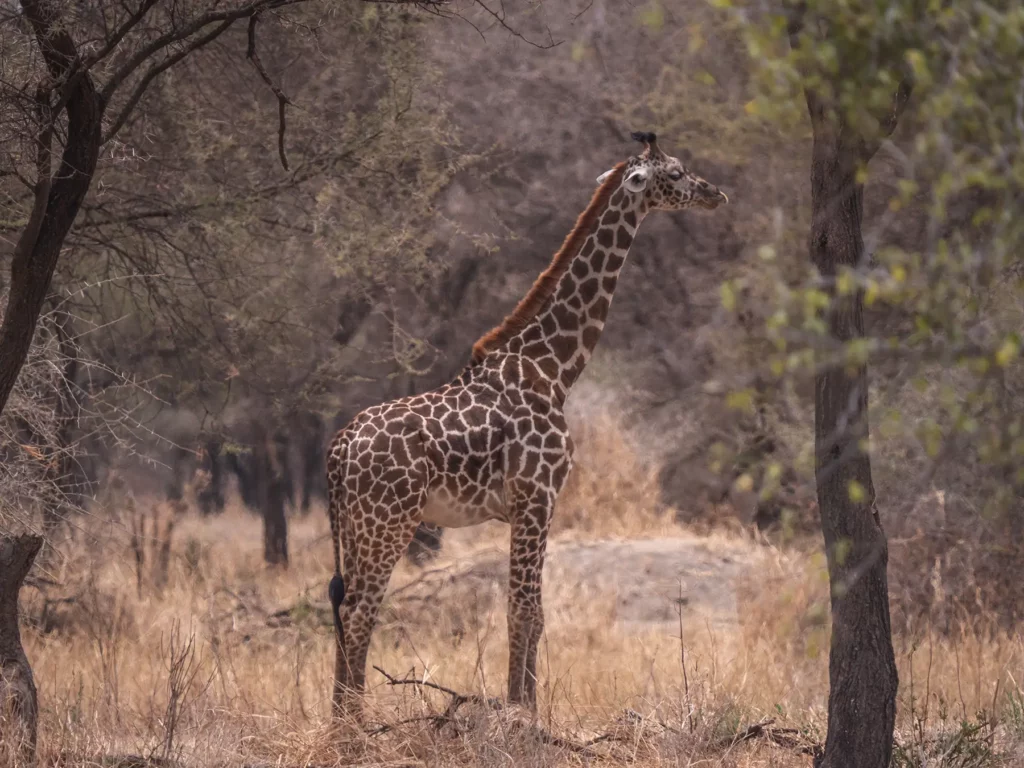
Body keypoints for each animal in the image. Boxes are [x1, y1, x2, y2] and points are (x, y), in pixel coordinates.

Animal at [326, 131, 728, 718]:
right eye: (675, 173)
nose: (715, 193)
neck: (553, 368)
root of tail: (338, 450)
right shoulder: (538, 495)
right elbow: (526, 611)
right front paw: (524, 714)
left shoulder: (525, 504)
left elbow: (529, 611)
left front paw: (524, 707)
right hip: (389, 522)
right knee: (361, 611)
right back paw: (354, 724)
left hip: (355, 525)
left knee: (343, 604)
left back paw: (339, 721)